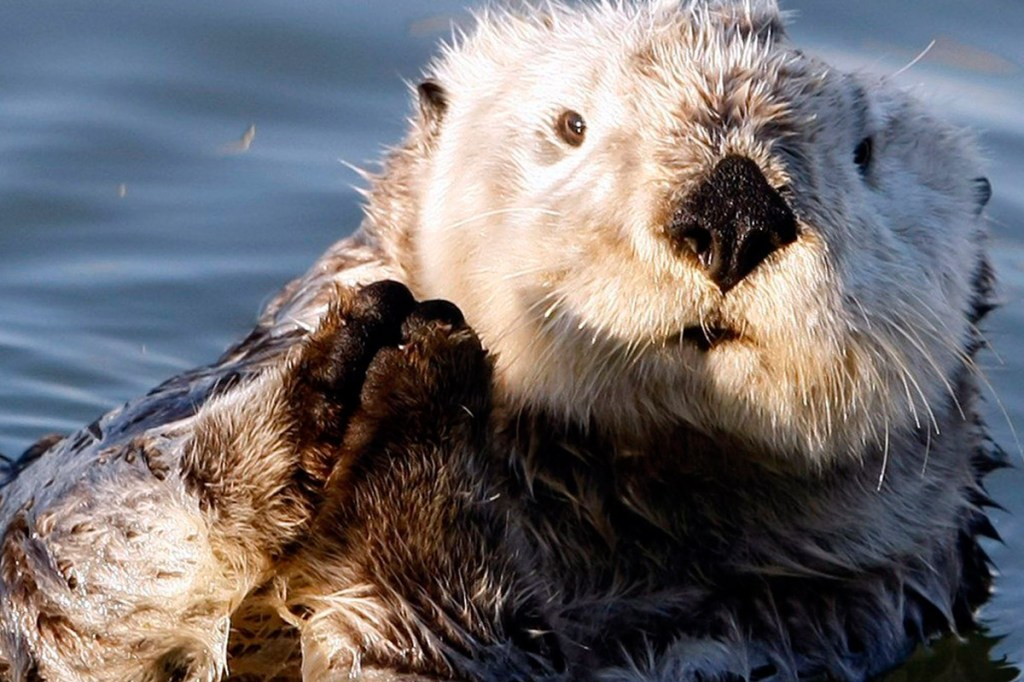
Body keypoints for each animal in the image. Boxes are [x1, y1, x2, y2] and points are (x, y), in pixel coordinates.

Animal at [0, 1, 999, 679]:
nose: (733, 209)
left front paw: (421, 399)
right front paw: (336, 366)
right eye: (571, 125)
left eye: (865, 153)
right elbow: (75, 552)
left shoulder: (787, 625)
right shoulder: (93, 487)